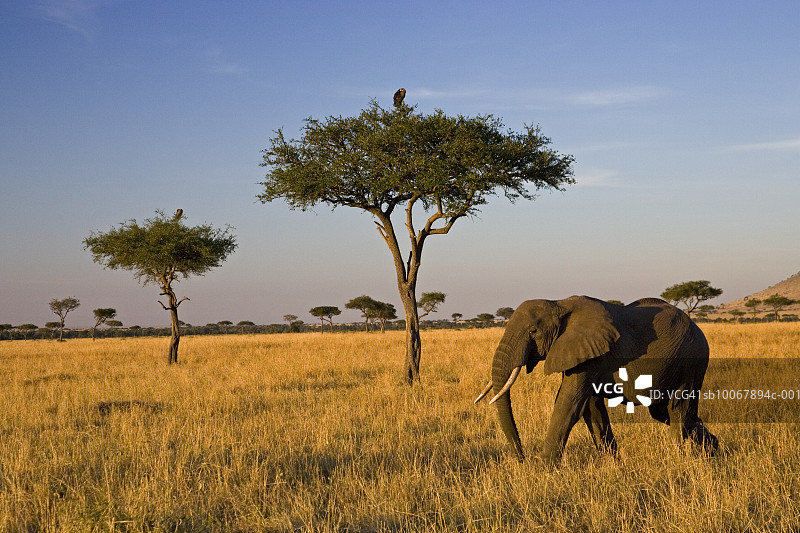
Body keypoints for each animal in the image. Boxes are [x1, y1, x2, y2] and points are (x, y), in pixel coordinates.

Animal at [474, 296, 718, 464]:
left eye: (533, 331)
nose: (522, 459)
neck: (558, 304)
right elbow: (591, 408)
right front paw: (613, 465)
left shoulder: (590, 355)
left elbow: (568, 404)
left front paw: (543, 471)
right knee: (669, 413)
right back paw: (712, 452)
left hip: (691, 360)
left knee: (678, 411)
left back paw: (683, 458)